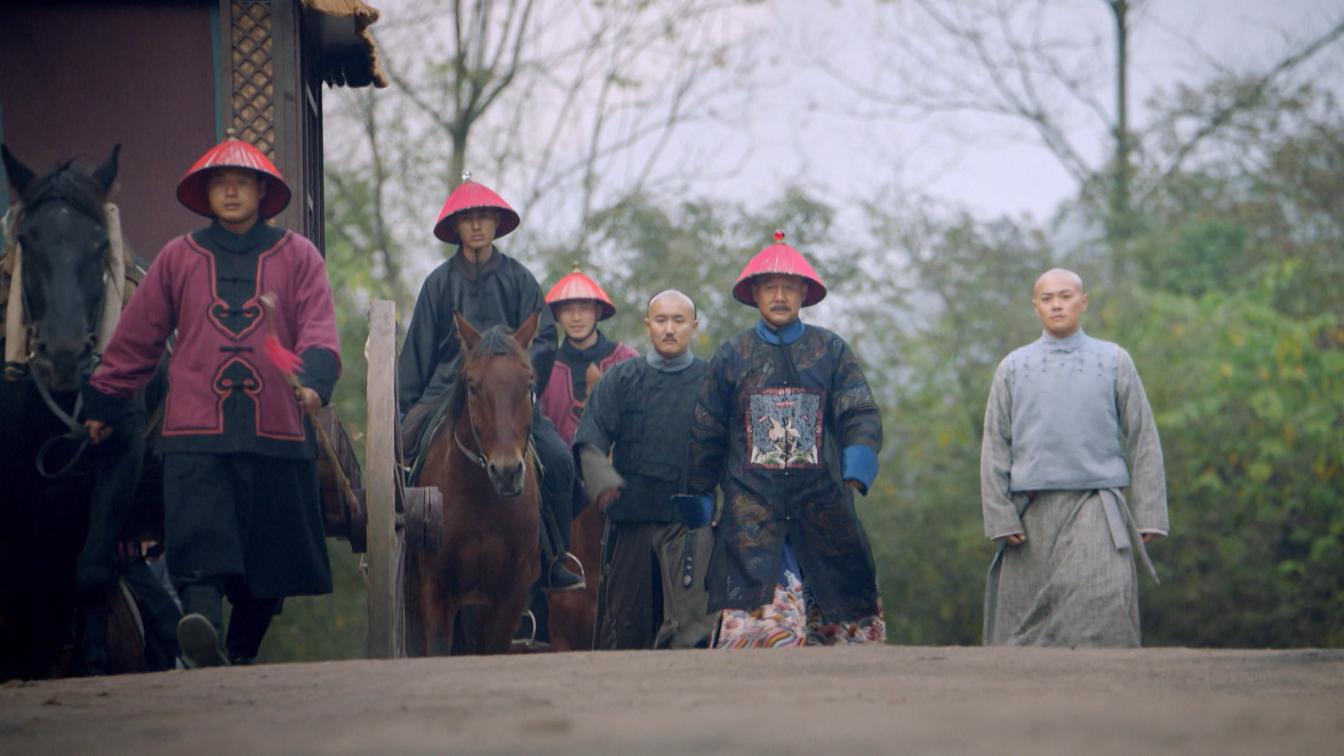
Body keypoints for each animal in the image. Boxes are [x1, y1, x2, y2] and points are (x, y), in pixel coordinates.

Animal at [0, 142, 168, 677]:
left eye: (98, 246)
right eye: (27, 241)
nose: (65, 354)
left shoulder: (122, 447)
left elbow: (92, 565)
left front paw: (93, 660)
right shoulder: (16, 470)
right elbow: (27, 569)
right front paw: (32, 660)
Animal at [403, 309, 540, 651]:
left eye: (528, 382)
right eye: (473, 386)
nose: (506, 472)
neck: (481, 498)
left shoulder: (510, 592)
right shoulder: (435, 587)